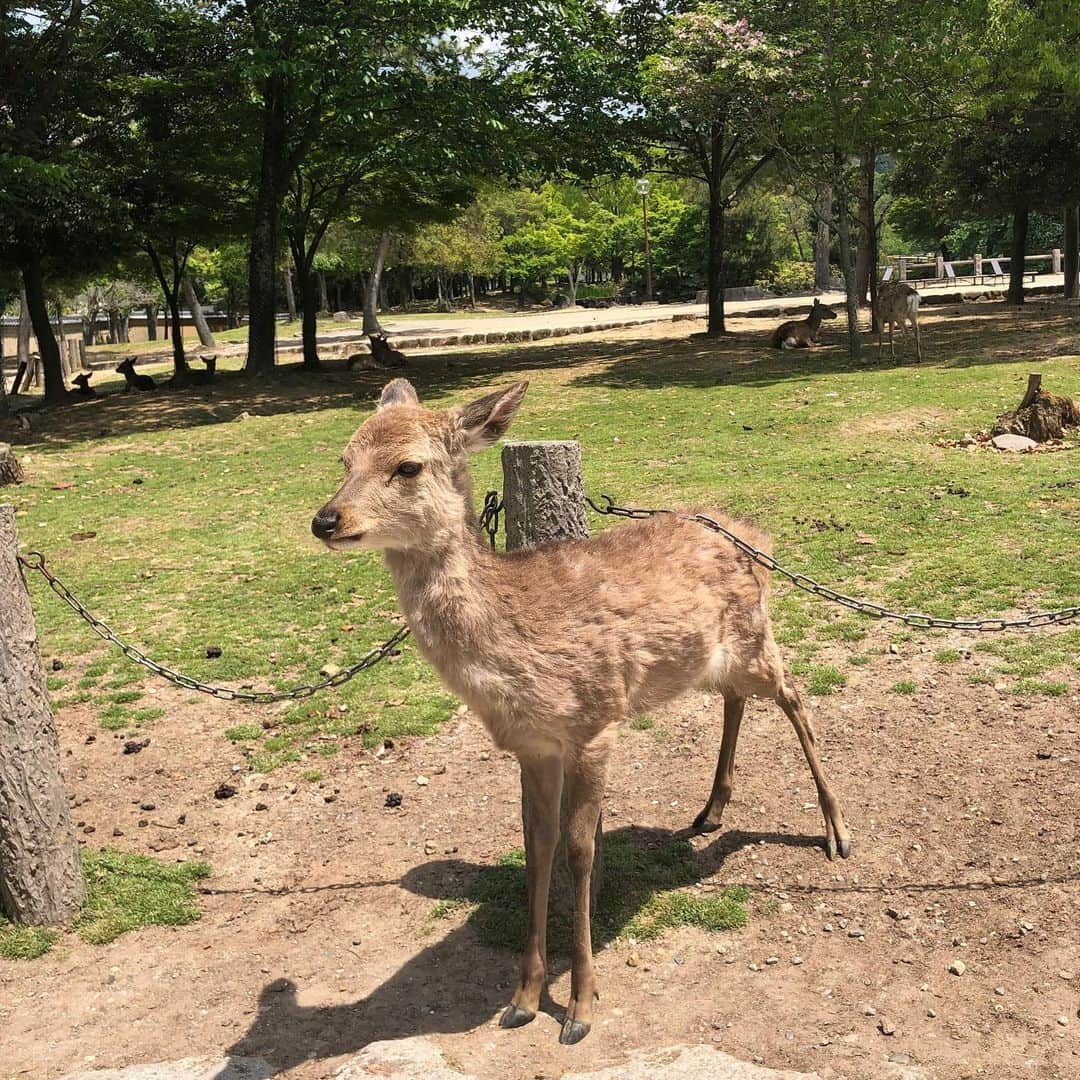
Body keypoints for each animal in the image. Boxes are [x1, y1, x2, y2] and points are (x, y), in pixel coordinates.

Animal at [313, 378, 851, 1045]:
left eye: (406, 466)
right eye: (344, 459)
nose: (325, 519)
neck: (514, 654)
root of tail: (757, 539)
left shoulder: (595, 722)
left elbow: (579, 851)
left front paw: (580, 1008)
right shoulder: (533, 746)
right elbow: (536, 845)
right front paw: (522, 999)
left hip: (753, 636)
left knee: (794, 696)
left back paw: (837, 831)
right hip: (709, 660)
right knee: (737, 699)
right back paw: (709, 811)